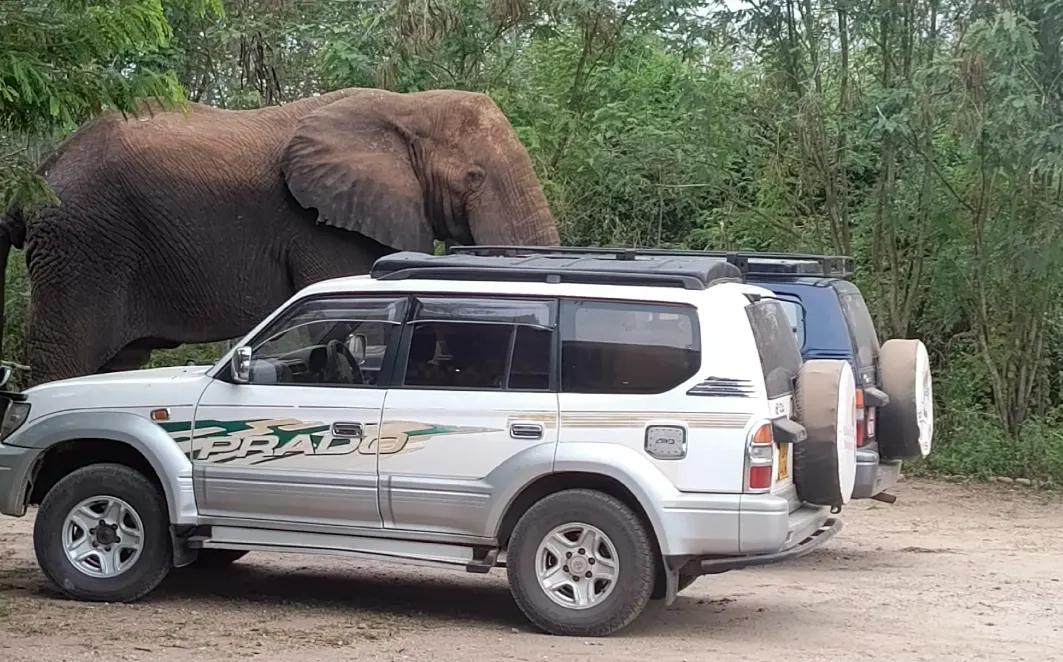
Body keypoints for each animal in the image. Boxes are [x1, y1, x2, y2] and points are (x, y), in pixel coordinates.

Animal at [0, 88, 559, 385]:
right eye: (474, 178)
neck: (407, 108)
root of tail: (38, 175)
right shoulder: (322, 223)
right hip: (81, 246)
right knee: (65, 358)